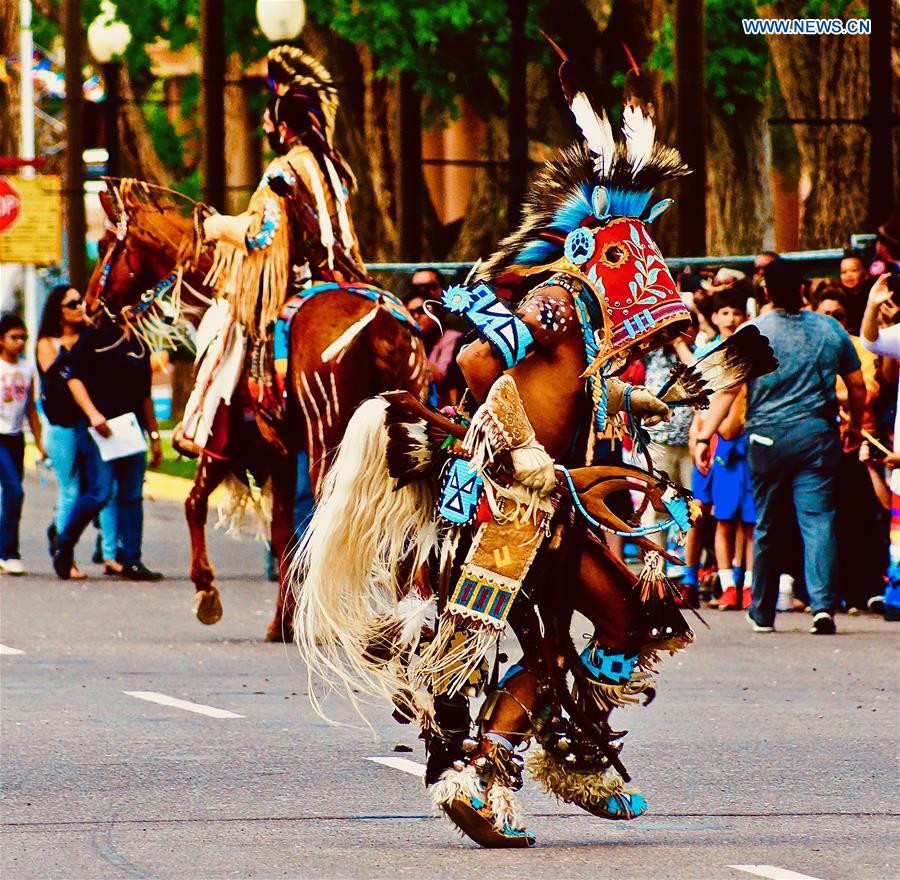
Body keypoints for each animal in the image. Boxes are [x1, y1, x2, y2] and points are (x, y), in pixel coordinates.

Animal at [86, 180, 428, 648]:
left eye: (105, 246)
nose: (87, 305)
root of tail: (379, 322)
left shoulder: (225, 440)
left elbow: (195, 504)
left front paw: (207, 591)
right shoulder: (280, 453)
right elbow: (283, 529)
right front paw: (281, 620)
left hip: (329, 432)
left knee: (335, 516)